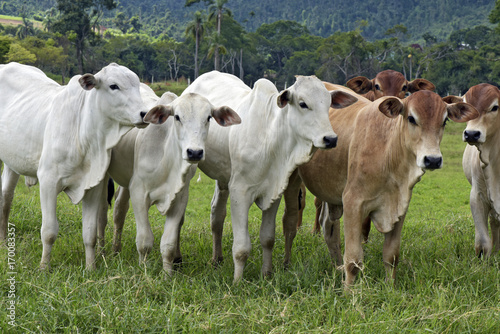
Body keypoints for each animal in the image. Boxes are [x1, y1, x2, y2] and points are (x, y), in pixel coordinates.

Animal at [0, 62, 150, 270]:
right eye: (114, 86)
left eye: (137, 85)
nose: (145, 114)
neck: (84, 133)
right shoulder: (48, 182)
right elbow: (49, 231)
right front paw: (44, 267)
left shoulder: (93, 187)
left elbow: (90, 233)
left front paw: (91, 268)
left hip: (12, 163)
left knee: (6, 198)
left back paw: (4, 241)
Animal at [103, 84, 240, 274]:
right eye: (177, 117)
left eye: (208, 117)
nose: (194, 152)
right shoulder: (139, 193)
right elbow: (144, 241)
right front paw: (144, 271)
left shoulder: (180, 198)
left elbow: (167, 244)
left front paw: (168, 274)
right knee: (114, 211)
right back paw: (109, 249)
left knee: (120, 208)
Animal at [182, 71, 358, 282]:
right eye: (303, 103)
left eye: (329, 103)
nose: (330, 139)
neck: (270, 137)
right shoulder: (240, 192)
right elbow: (241, 247)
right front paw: (237, 281)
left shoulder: (274, 192)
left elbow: (268, 238)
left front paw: (266, 273)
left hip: (223, 179)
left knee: (217, 215)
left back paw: (217, 259)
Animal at [284, 87, 478, 286]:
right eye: (411, 118)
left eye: (444, 120)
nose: (432, 159)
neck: (388, 153)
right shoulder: (353, 203)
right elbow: (353, 260)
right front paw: (348, 290)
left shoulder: (400, 206)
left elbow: (391, 256)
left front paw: (390, 287)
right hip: (292, 181)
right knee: (289, 224)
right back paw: (287, 265)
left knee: (328, 228)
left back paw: (336, 267)